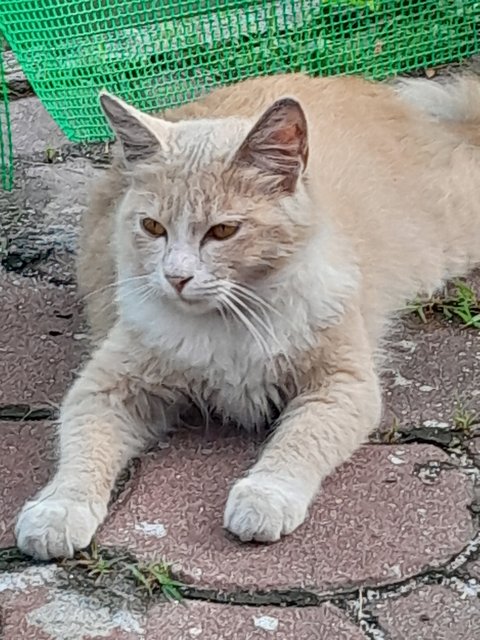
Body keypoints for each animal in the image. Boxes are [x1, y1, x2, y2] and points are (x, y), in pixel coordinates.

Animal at [15, 72, 480, 556]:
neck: (230, 321)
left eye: (223, 231)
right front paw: (59, 510)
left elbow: (299, 441)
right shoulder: (105, 389)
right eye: (152, 227)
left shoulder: (340, 385)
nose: (175, 277)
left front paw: (265, 497)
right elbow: (83, 449)